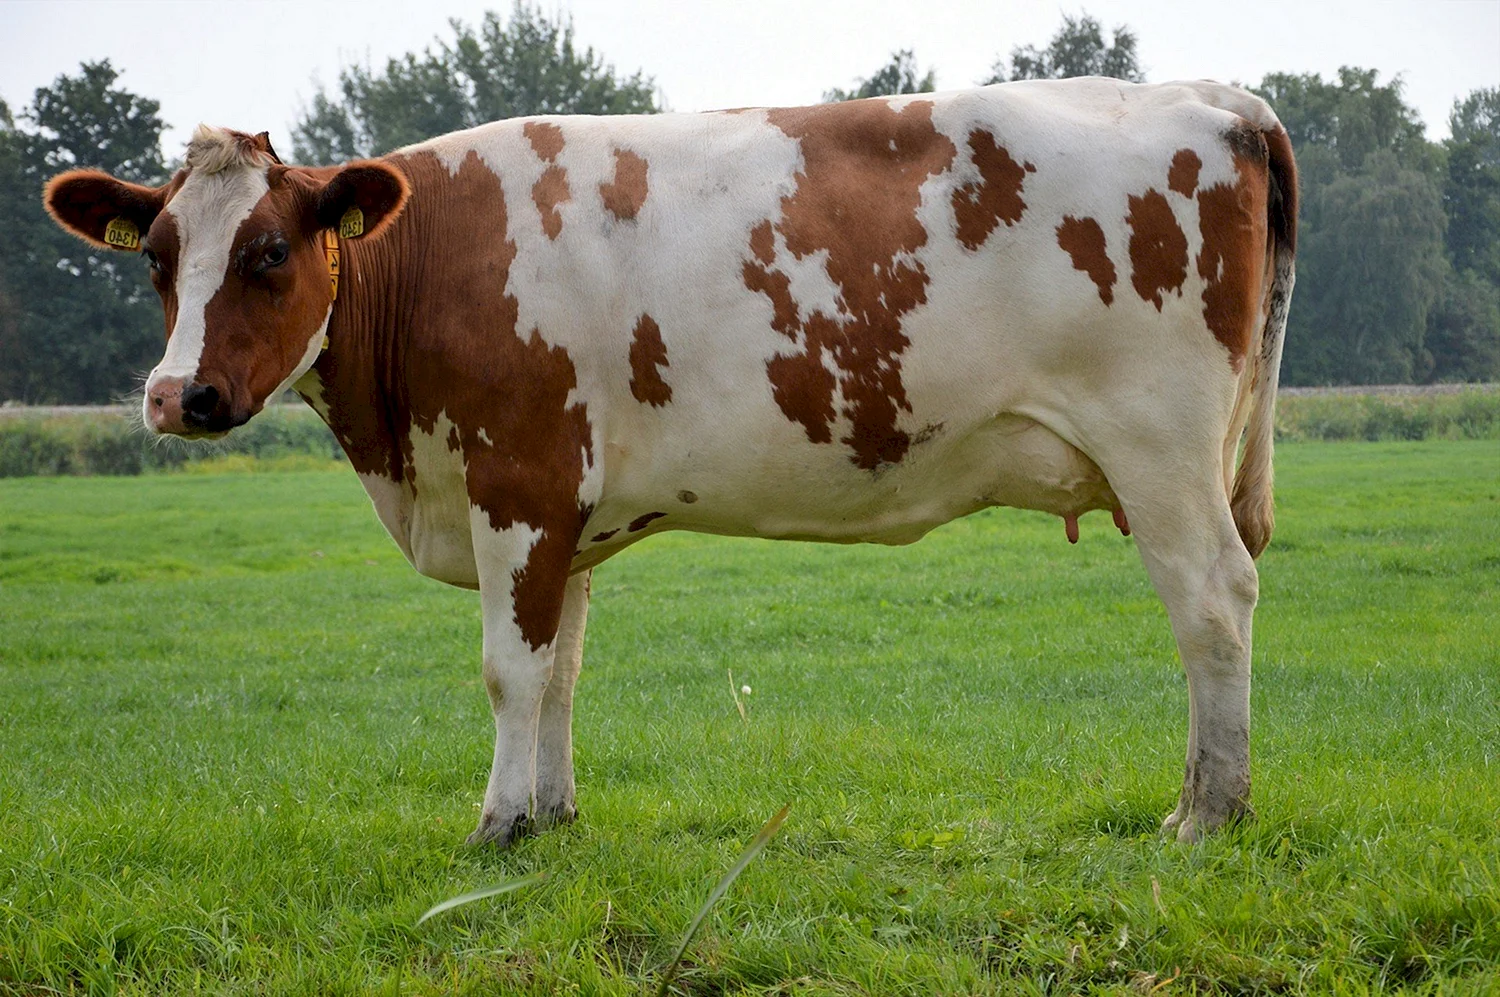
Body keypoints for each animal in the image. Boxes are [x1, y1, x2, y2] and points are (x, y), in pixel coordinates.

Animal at [41, 77, 1296, 845]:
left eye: (266, 251)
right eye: (156, 255)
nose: (177, 396)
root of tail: (1212, 95)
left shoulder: (515, 480)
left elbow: (507, 670)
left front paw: (494, 826)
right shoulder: (565, 508)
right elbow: (559, 671)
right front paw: (549, 819)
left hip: (1160, 451)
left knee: (1214, 604)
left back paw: (1208, 812)